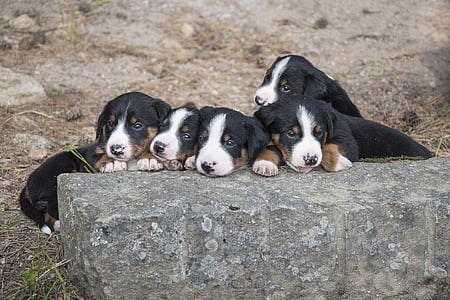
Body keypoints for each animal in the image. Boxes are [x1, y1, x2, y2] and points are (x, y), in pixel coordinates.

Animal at [19, 90, 171, 233]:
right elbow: (99, 155)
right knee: (53, 205)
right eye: (110, 123)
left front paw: (149, 158)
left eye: (137, 125)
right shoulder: (89, 157)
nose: (115, 149)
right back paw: (59, 224)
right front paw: (111, 162)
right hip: (61, 167)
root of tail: (27, 184)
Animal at [253, 95, 432, 176]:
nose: (311, 159)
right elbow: (269, 147)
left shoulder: (345, 136)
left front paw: (339, 162)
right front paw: (264, 164)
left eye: (319, 132)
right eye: (290, 133)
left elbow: (329, 147)